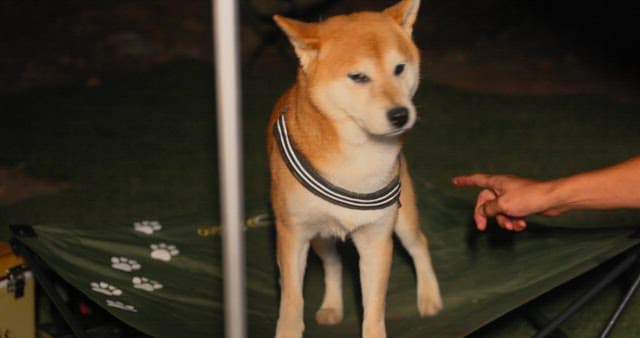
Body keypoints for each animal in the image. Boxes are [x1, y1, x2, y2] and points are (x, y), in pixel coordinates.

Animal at [268, 1, 442, 336]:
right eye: (358, 76)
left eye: (399, 68)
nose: (401, 115)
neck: (356, 158)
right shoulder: (293, 234)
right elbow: (291, 301)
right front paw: (289, 327)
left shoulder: (376, 239)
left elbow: (373, 308)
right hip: (321, 236)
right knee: (333, 263)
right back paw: (332, 306)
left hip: (403, 220)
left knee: (420, 244)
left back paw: (429, 298)